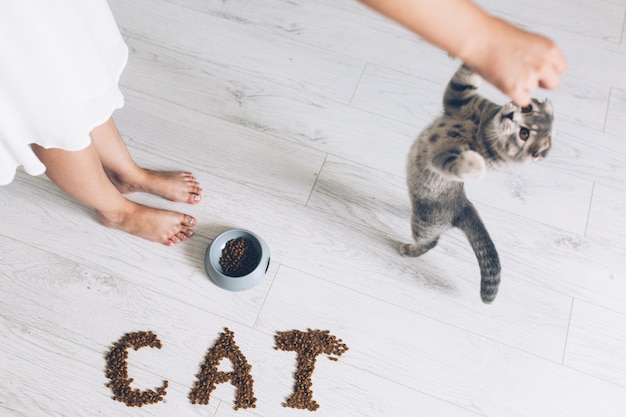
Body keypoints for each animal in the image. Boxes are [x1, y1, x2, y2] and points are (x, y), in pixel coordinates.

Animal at [400, 62, 552, 302]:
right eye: (527, 108)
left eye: (524, 133)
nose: (511, 115)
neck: (484, 125)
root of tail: (464, 206)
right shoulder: (460, 98)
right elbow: (465, 78)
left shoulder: (441, 156)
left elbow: (458, 163)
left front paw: (476, 165)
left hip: (424, 222)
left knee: (431, 242)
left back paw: (408, 249)